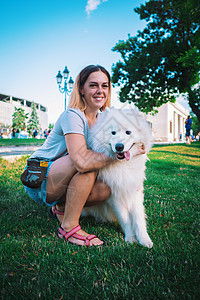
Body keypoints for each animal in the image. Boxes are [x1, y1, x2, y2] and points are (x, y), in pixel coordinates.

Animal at [82, 106, 154, 247]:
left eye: (128, 132)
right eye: (113, 133)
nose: (119, 147)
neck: (123, 164)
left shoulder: (134, 192)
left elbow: (138, 219)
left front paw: (144, 239)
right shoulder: (115, 196)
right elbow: (125, 219)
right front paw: (130, 238)